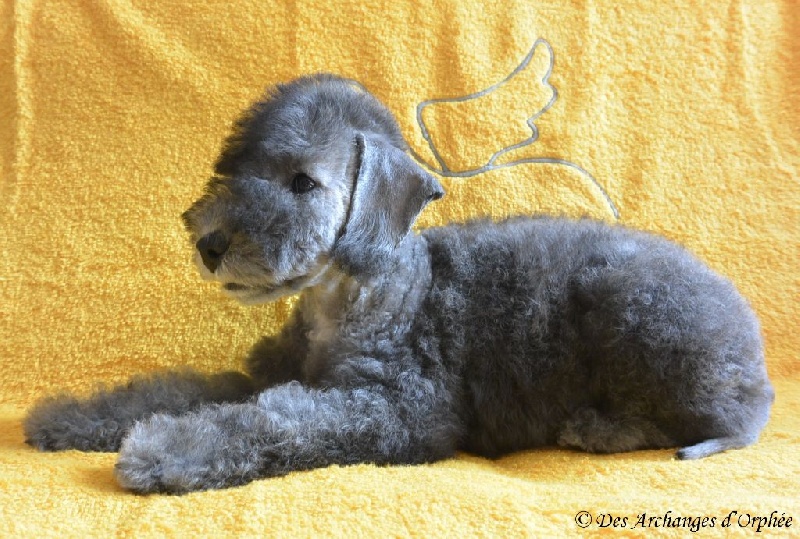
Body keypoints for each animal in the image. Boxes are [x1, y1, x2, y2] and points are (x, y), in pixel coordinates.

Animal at [24, 74, 774, 494]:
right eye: (231, 170)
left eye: (303, 182)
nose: (210, 244)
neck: (345, 301)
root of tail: (758, 357)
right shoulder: (264, 373)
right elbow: (185, 388)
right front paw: (69, 419)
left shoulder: (397, 408)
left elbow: (277, 418)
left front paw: (162, 449)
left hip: (635, 310)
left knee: (717, 421)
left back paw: (597, 427)